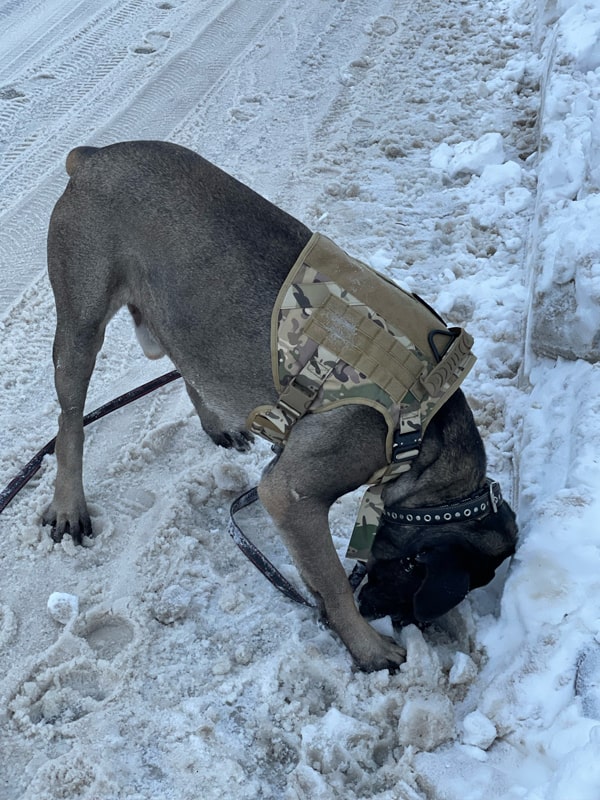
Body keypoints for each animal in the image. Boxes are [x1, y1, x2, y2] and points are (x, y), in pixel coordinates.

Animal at [44, 141, 516, 672]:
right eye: (417, 578)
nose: (393, 615)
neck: (426, 442)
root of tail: (92, 156)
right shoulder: (289, 494)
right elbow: (332, 581)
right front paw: (367, 646)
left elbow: (320, 575)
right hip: (81, 328)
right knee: (69, 422)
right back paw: (68, 506)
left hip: (176, 316)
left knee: (188, 369)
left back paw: (216, 423)